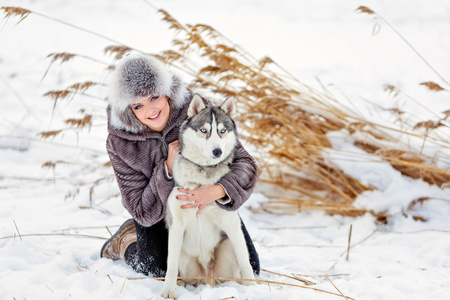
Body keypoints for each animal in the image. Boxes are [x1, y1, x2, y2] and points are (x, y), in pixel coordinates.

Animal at [162, 94, 255, 298]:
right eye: (204, 130)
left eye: (222, 131)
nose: (217, 151)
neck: (201, 176)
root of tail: (207, 278)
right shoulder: (176, 226)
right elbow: (170, 266)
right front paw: (168, 292)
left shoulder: (232, 225)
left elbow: (245, 262)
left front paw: (254, 288)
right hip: (181, 253)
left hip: (229, 245)